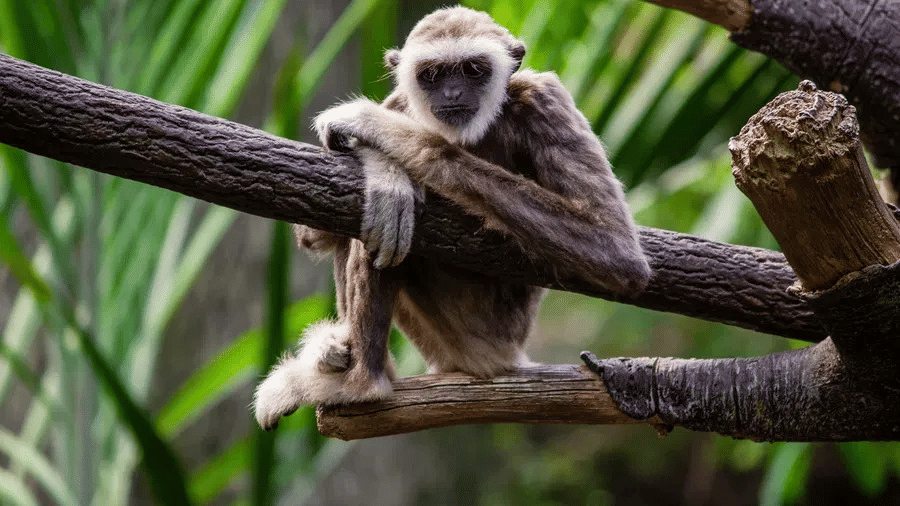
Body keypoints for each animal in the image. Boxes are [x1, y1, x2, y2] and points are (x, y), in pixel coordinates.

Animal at [254, 6, 651, 430]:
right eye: (433, 75)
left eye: (473, 70)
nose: (453, 93)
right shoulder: (400, 100)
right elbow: (314, 235)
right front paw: (386, 171)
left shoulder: (542, 95)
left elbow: (615, 247)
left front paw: (381, 137)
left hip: (476, 339)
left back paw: (362, 384)